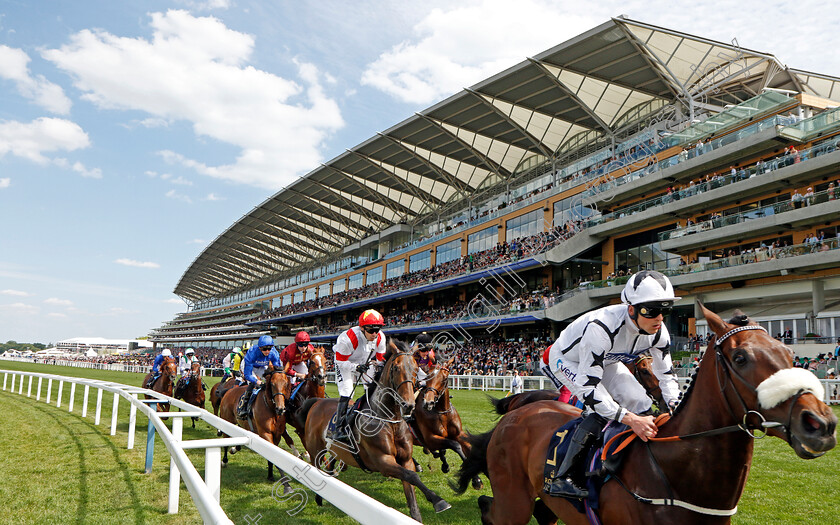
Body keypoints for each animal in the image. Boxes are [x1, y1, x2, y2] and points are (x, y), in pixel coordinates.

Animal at [296, 338, 452, 520]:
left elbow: (412, 486)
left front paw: (428, 507)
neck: (389, 420)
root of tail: (317, 402)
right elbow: (412, 475)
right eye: (396, 368)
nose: (408, 405)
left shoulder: (405, 460)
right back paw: (319, 496)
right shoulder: (382, 461)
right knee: (316, 468)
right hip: (315, 450)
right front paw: (439, 501)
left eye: (416, 369)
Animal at [410, 354, 482, 490]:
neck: (441, 411)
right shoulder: (430, 438)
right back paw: (417, 465)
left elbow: (466, 447)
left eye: (444, 378)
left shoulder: (458, 433)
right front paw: (475, 479)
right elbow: (455, 445)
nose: (428, 402)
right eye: (427, 377)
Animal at [456, 302, 836, 524]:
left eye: (788, 351)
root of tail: (514, 414)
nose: (820, 423)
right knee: (491, 509)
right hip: (514, 499)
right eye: (740, 358)